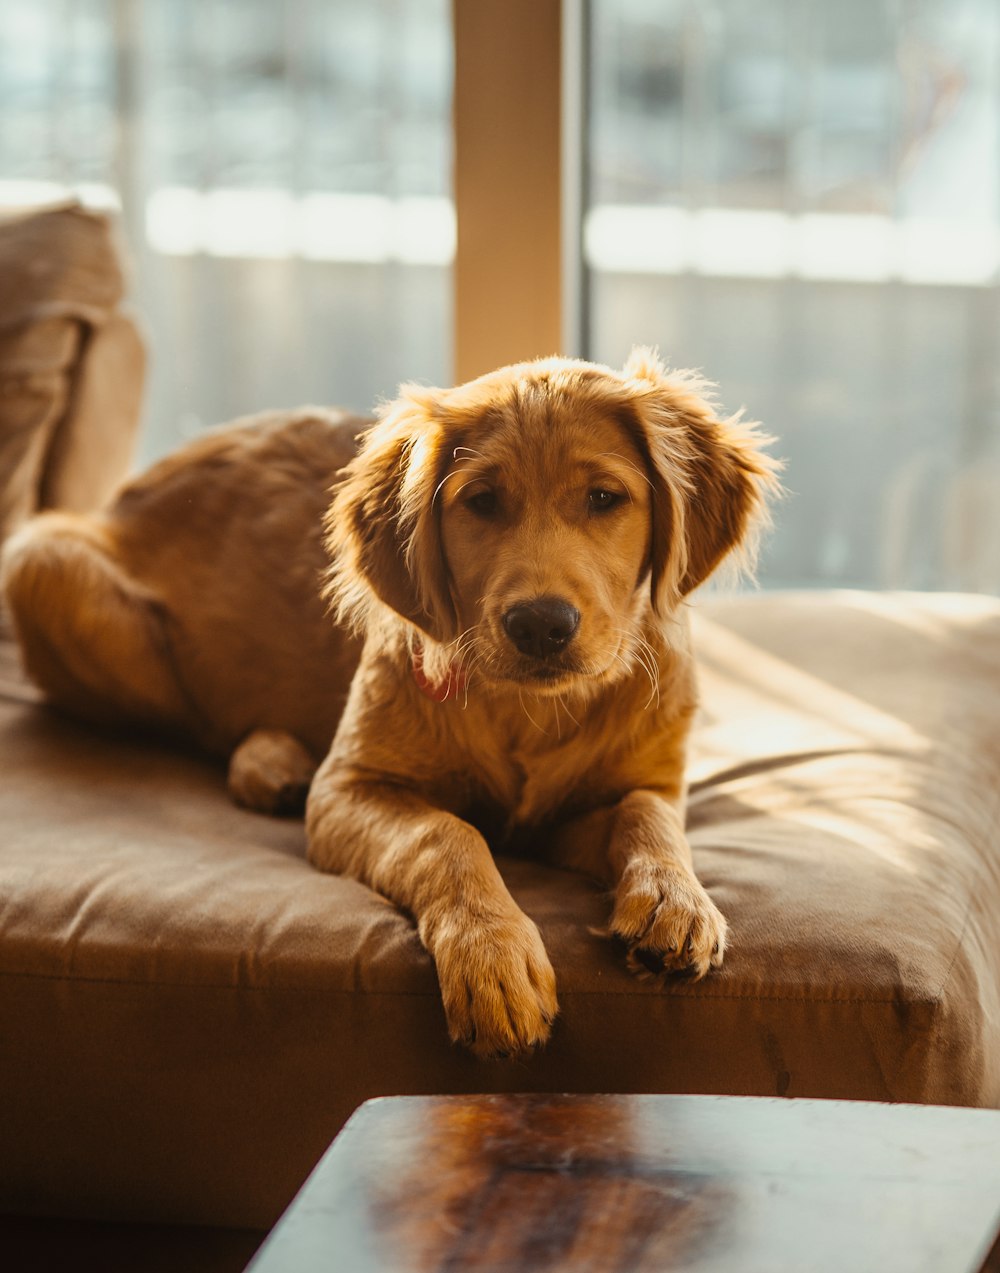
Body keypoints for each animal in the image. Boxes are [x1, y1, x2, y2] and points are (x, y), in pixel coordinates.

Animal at [0, 353, 778, 1059]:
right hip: (47, 566)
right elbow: (447, 836)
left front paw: (676, 900)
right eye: (482, 500)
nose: (541, 626)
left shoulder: (606, 798)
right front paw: (493, 959)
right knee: (198, 726)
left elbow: (647, 815)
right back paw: (269, 762)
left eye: (605, 498)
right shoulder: (348, 789)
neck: (526, 710)